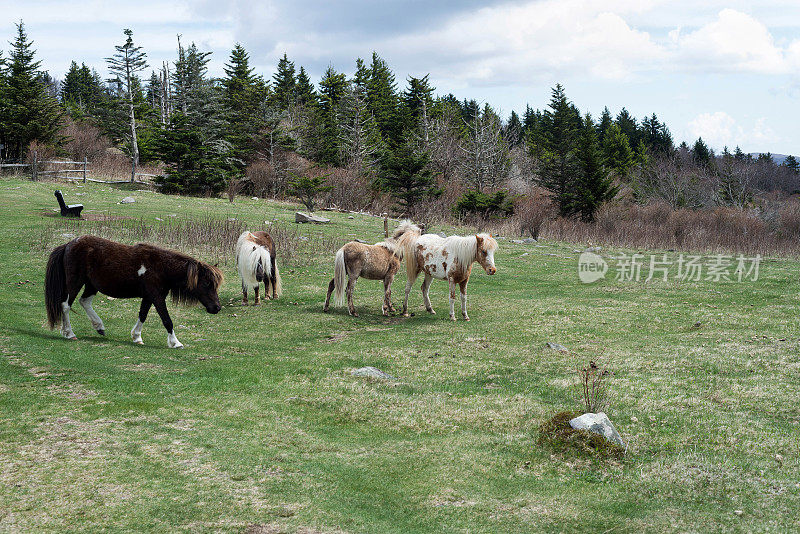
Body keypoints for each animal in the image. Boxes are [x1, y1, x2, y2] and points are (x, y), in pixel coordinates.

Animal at [45, 237, 223, 350]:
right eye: (207, 283)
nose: (217, 308)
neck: (161, 267)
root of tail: (68, 244)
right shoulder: (157, 297)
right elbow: (167, 320)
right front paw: (175, 343)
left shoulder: (149, 296)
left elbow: (142, 315)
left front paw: (137, 337)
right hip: (75, 282)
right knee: (66, 305)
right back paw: (69, 333)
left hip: (90, 284)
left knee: (84, 301)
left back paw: (98, 327)